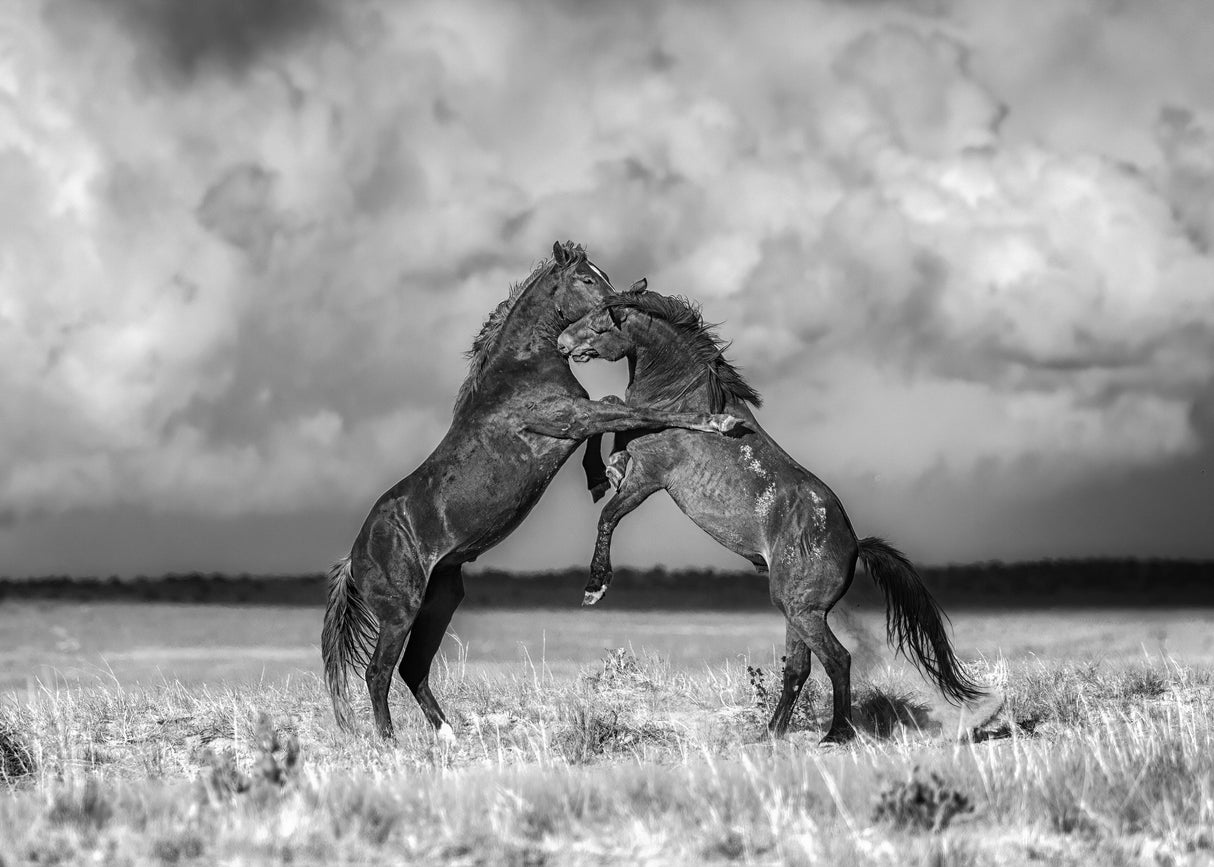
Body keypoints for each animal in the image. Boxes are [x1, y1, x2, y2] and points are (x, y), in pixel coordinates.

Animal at [321, 244, 743, 741]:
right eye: (586, 279)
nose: (623, 301)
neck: (521, 370)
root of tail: (355, 556)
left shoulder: (576, 418)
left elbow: (614, 409)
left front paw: (604, 473)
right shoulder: (571, 418)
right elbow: (637, 411)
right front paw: (718, 421)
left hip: (439, 602)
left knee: (412, 670)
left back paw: (448, 734)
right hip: (400, 611)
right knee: (378, 672)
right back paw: (389, 741)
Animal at [557, 282, 983, 743]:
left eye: (601, 324)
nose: (562, 343)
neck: (683, 398)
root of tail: (854, 545)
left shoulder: (651, 478)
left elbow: (608, 514)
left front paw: (595, 586)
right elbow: (609, 413)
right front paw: (606, 470)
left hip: (800, 610)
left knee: (837, 659)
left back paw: (836, 735)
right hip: (797, 609)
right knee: (799, 667)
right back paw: (772, 733)